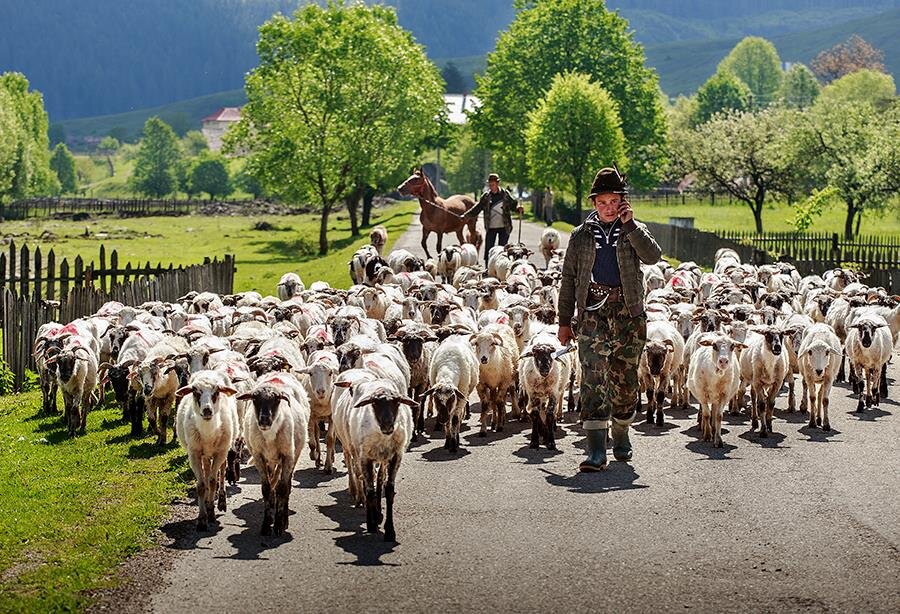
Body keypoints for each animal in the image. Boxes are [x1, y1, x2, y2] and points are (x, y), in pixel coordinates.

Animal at [174, 370, 239, 536]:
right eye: (195, 392)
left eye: (216, 392)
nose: (207, 410)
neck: (209, 432)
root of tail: (210, 371)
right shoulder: (194, 454)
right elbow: (202, 485)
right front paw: (202, 519)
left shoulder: (220, 452)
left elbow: (213, 480)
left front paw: (211, 513)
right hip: (204, 454)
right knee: (207, 470)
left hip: (222, 450)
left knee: (221, 471)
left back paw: (221, 501)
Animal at [239, 372, 310, 536]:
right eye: (254, 399)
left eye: (277, 400)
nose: (264, 420)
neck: (269, 435)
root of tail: (278, 373)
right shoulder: (259, 456)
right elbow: (266, 489)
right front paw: (266, 524)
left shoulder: (287, 456)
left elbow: (283, 489)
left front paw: (279, 524)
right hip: (271, 460)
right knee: (273, 483)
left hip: (292, 456)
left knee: (285, 486)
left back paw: (283, 518)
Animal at [328, 380, 416, 544]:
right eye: (375, 403)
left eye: (397, 403)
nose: (388, 426)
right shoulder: (365, 458)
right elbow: (369, 490)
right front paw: (371, 523)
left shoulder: (396, 456)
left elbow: (388, 490)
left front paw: (389, 531)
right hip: (355, 450)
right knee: (363, 479)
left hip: (382, 458)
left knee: (379, 479)